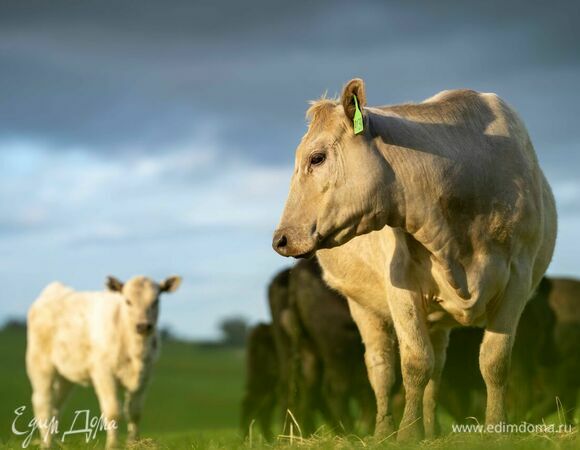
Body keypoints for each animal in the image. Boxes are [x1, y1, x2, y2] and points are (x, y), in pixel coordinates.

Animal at [26, 274, 181, 446]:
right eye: (128, 301)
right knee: (43, 404)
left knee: (56, 405)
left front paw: (133, 443)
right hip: (41, 365)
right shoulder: (103, 373)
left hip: (65, 376)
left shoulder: (146, 376)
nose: (143, 326)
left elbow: (135, 412)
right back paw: (46, 443)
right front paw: (112, 445)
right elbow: (113, 411)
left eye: (156, 301)